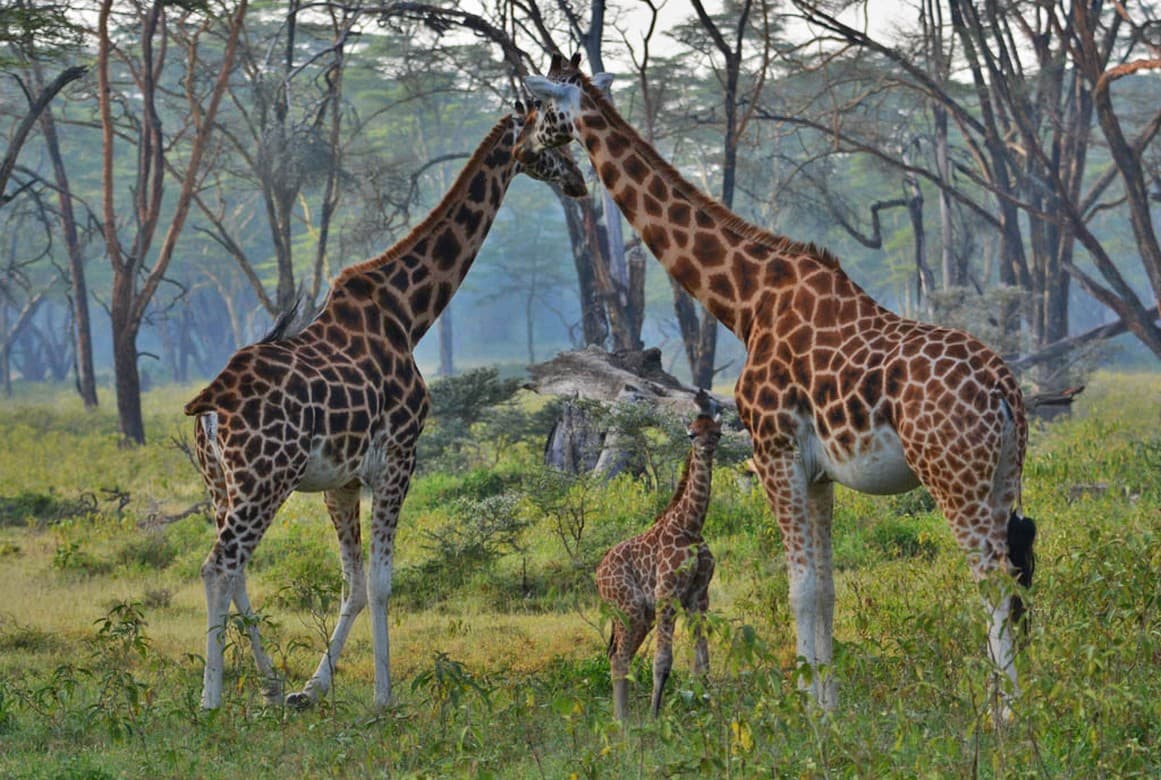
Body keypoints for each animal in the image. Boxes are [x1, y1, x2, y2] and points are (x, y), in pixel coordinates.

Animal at [184, 108, 587, 711]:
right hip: (265, 475)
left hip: (221, 480)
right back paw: (211, 701)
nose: (580, 181)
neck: (409, 312)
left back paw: (270, 685)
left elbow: (351, 583)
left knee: (237, 573)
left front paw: (311, 688)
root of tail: (211, 403)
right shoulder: (399, 458)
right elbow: (380, 582)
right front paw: (384, 696)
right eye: (554, 136)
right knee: (219, 566)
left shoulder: (342, 480)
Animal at [596, 389, 721, 720]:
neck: (690, 526)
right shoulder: (667, 594)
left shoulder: (698, 597)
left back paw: (622, 718)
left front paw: (708, 705)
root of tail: (597, 575)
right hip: (629, 606)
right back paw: (624, 721)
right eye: (691, 434)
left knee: (618, 655)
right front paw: (655, 716)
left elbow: (702, 660)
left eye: (717, 433)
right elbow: (663, 661)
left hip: (641, 615)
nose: (706, 448)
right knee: (620, 657)